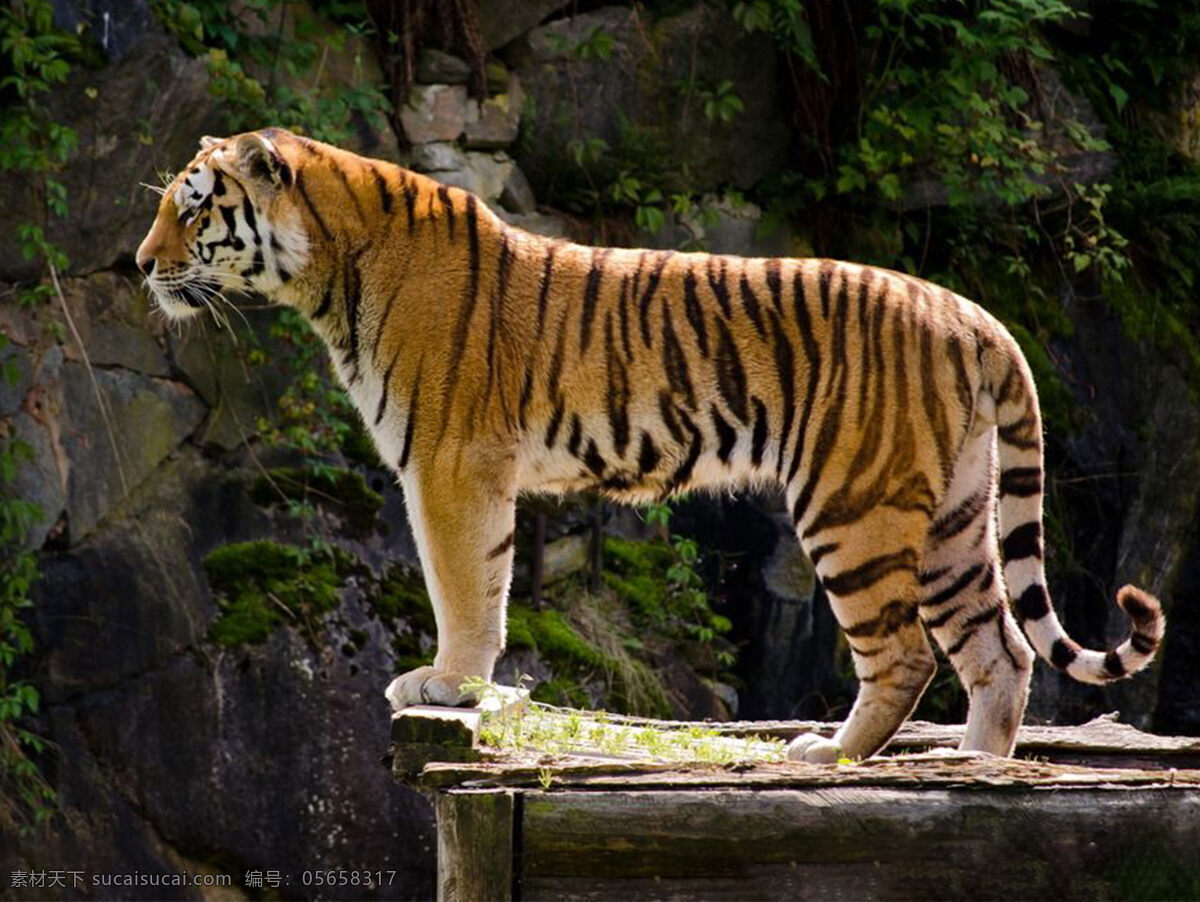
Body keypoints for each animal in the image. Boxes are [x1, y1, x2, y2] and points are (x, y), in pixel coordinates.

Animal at [137, 128, 1165, 762]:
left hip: (854, 506)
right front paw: (462, 682)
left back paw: (830, 753)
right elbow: (488, 581)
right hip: (954, 513)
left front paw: (447, 684)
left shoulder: (450, 463)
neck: (329, 271)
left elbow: (463, 584)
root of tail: (972, 314)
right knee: (1003, 652)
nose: (142, 265)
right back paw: (976, 768)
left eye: (192, 209)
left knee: (909, 654)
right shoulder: (467, 468)